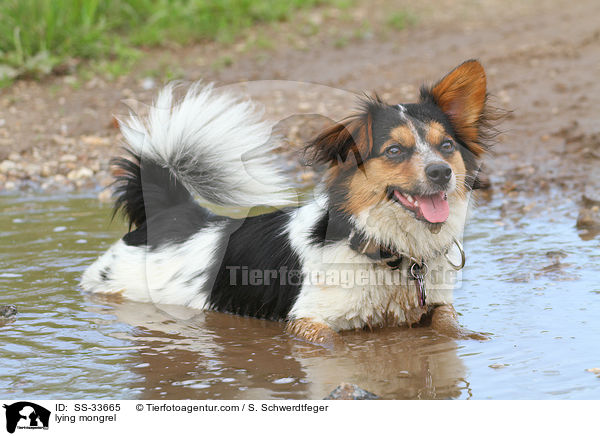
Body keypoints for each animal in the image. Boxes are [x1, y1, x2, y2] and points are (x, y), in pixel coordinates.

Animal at [83, 60, 496, 348]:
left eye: (446, 146)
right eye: (394, 150)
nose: (442, 172)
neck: (386, 249)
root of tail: (172, 212)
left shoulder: (437, 306)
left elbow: (450, 325)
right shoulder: (306, 321)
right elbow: (333, 344)